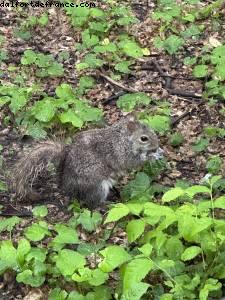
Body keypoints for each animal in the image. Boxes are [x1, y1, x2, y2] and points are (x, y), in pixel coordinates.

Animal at [11, 115, 163, 209]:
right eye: (144, 138)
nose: (157, 144)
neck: (124, 139)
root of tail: (66, 186)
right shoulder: (121, 153)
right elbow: (132, 162)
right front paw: (152, 156)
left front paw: (159, 151)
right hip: (97, 187)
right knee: (92, 203)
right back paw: (105, 205)